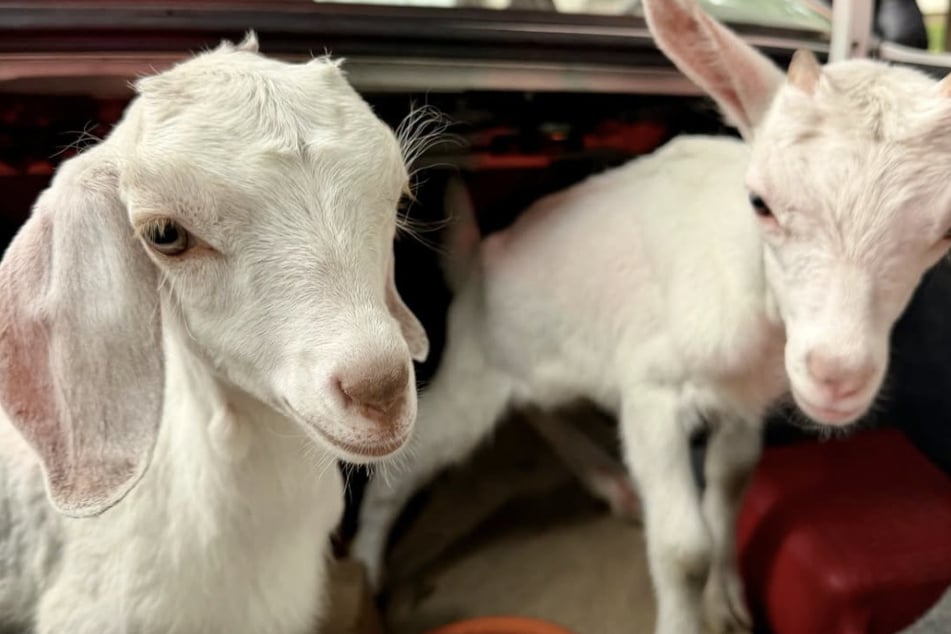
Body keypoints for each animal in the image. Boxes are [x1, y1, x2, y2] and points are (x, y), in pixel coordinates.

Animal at [353, 2, 951, 632]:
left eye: (944, 232)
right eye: (760, 202)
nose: (837, 375)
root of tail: (474, 266)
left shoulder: (746, 398)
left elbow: (731, 487)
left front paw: (728, 601)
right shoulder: (651, 390)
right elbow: (685, 549)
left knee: (540, 405)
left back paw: (608, 482)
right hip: (473, 368)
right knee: (411, 459)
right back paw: (365, 570)